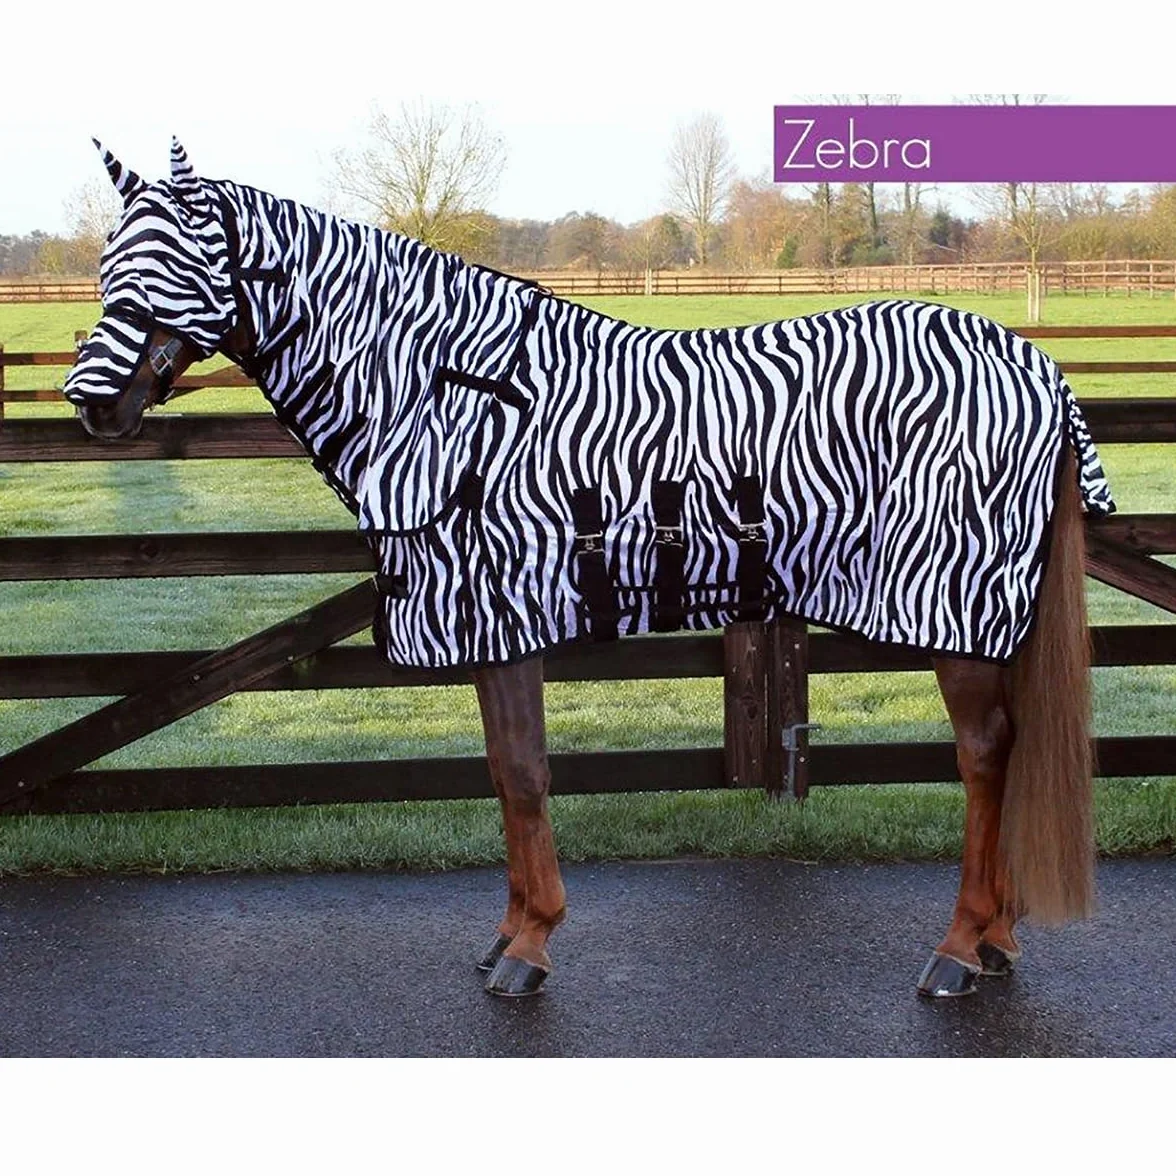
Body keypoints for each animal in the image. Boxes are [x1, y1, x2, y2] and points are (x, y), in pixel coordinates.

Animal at [64, 138, 1115, 999]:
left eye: (170, 263)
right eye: (111, 266)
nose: (93, 403)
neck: (446, 396)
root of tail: (1035, 364)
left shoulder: (501, 612)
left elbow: (527, 775)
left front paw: (530, 948)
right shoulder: (486, 623)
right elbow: (503, 771)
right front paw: (511, 932)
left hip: (957, 610)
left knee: (987, 756)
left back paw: (961, 949)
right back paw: (997, 942)